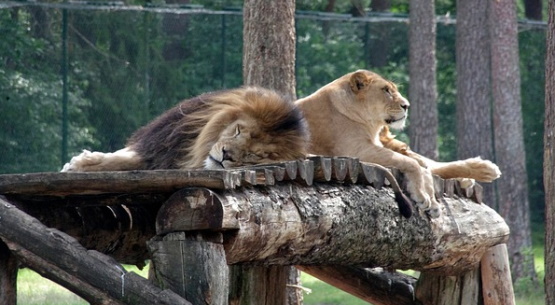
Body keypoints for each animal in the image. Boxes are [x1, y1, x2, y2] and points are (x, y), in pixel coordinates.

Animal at [64, 86, 312, 171]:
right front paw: (81, 163)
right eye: (238, 130)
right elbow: (124, 158)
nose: (225, 155)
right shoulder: (162, 148)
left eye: (256, 155)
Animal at [298, 69, 502, 216]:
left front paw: (429, 199)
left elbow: (419, 165)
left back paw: (483, 169)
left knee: (429, 163)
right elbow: (412, 164)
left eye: (393, 89)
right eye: (386, 90)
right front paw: (423, 196)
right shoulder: (356, 150)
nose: (407, 105)